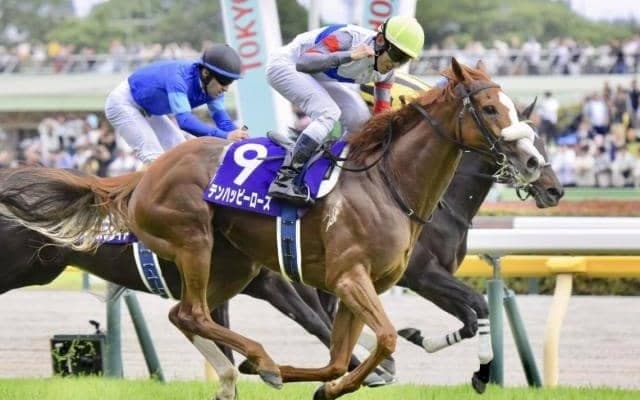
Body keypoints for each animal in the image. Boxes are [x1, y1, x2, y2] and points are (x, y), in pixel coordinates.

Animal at [0, 58, 547, 400]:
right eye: (491, 109)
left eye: (526, 120)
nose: (538, 166)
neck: (387, 184)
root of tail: (140, 178)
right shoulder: (351, 278)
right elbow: (388, 338)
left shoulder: (352, 285)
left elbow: (338, 357)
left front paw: (325, 384)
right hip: (192, 241)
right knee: (193, 312)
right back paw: (256, 360)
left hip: (232, 264)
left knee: (187, 314)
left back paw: (243, 368)